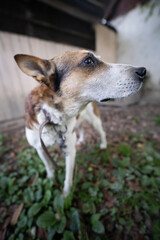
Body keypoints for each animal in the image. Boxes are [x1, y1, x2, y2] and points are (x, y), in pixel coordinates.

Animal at [14, 49, 146, 196]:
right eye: (88, 61)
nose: (143, 71)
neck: (50, 116)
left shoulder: (69, 150)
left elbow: (68, 177)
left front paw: (66, 194)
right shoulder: (39, 147)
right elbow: (48, 166)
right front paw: (50, 178)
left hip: (95, 121)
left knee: (102, 133)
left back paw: (103, 145)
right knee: (81, 129)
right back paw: (81, 140)